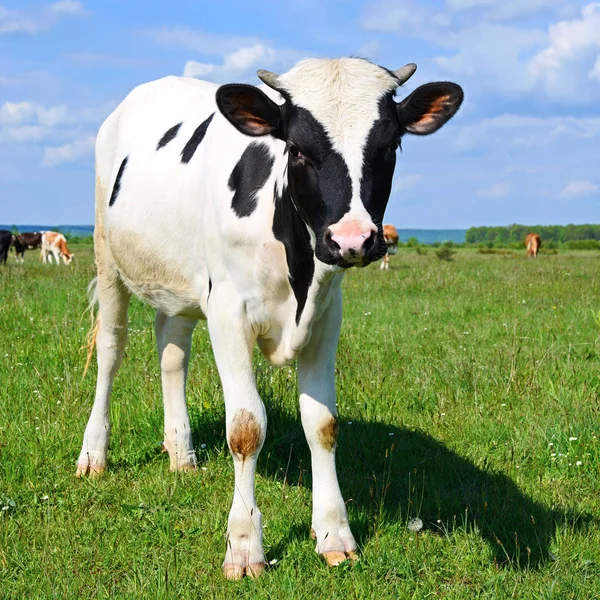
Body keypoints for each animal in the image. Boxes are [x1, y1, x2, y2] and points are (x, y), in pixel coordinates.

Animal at [76, 56, 464, 576]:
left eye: (390, 145)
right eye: (296, 149)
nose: (353, 240)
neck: (299, 270)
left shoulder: (327, 315)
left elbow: (323, 424)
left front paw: (334, 533)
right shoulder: (228, 312)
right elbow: (246, 427)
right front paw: (244, 546)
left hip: (181, 279)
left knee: (172, 353)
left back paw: (181, 452)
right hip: (107, 254)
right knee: (111, 351)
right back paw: (93, 454)